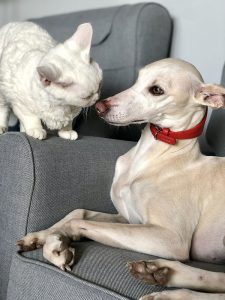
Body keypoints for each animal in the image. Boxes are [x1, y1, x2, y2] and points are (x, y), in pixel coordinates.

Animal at [18, 58, 225, 298]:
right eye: (138, 78)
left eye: (157, 90)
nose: (99, 107)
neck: (155, 157)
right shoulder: (128, 219)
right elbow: (78, 212)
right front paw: (40, 236)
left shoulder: (170, 239)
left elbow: (77, 222)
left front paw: (57, 243)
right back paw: (159, 272)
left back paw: (170, 292)